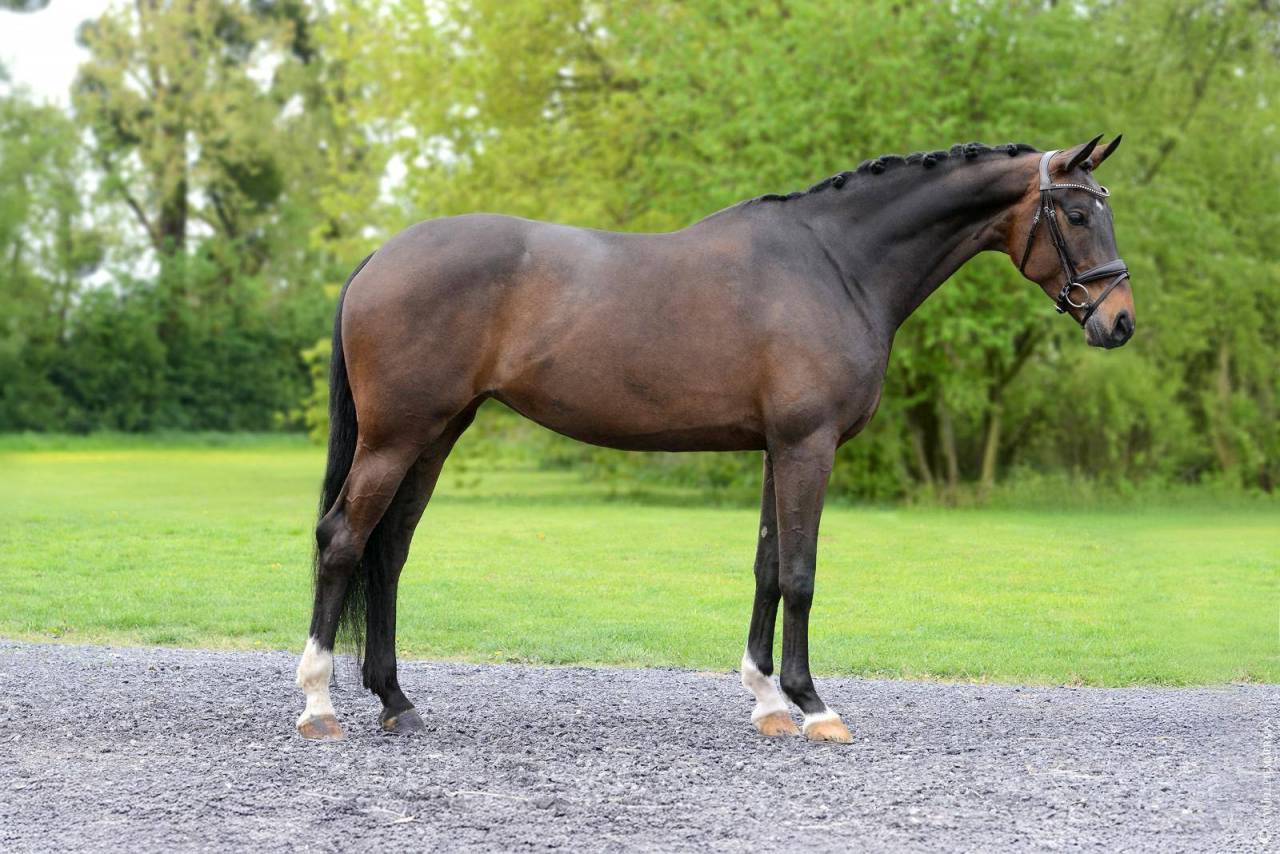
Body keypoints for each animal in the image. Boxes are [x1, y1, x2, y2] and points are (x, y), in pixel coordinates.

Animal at [295, 136, 1133, 743]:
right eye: (1079, 215)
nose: (1119, 321)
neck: (835, 265)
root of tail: (379, 258)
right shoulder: (807, 446)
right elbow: (799, 573)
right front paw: (813, 705)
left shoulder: (776, 448)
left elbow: (765, 568)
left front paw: (766, 700)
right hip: (398, 437)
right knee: (343, 541)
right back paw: (319, 706)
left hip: (436, 434)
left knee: (388, 552)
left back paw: (397, 701)